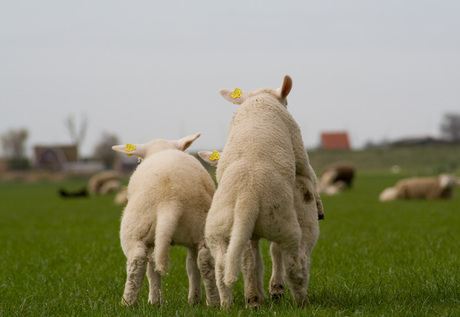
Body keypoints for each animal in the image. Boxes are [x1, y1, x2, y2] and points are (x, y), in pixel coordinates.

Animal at [111, 134, 219, 306]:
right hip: (199, 226)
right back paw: (212, 302)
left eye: (139, 160)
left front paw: (154, 300)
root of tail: (170, 201)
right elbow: (190, 265)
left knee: (137, 261)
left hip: (134, 228)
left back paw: (128, 303)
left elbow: (151, 268)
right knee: (204, 260)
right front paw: (193, 299)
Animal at [203, 75, 322, 308]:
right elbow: (309, 172)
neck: (258, 100)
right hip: (283, 224)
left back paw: (235, 302)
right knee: (291, 264)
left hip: (220, 228)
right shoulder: (298, 147)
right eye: (286, 102)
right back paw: (301, 301)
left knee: (227, 265)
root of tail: (246, 199)